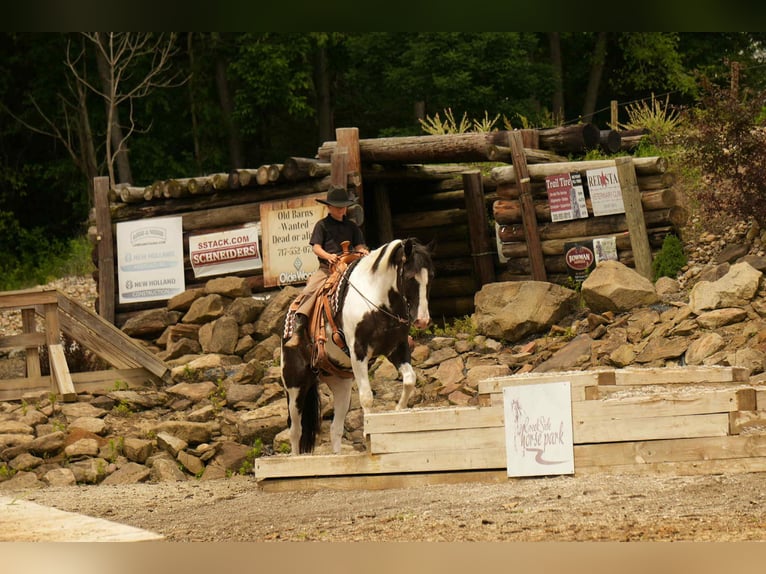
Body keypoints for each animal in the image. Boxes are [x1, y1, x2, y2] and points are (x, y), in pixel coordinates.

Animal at [280, 237, 435, 454]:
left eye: (432, 276)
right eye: (410, 277)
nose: (422, 321)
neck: (376, 301)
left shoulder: (397, 349)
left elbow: (410, 380)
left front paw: (397, 411)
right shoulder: (358, 353)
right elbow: (367, 397)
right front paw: (369, 436)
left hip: (341, 386)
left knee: (335, 428)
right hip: (295, 384)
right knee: (295, 429)